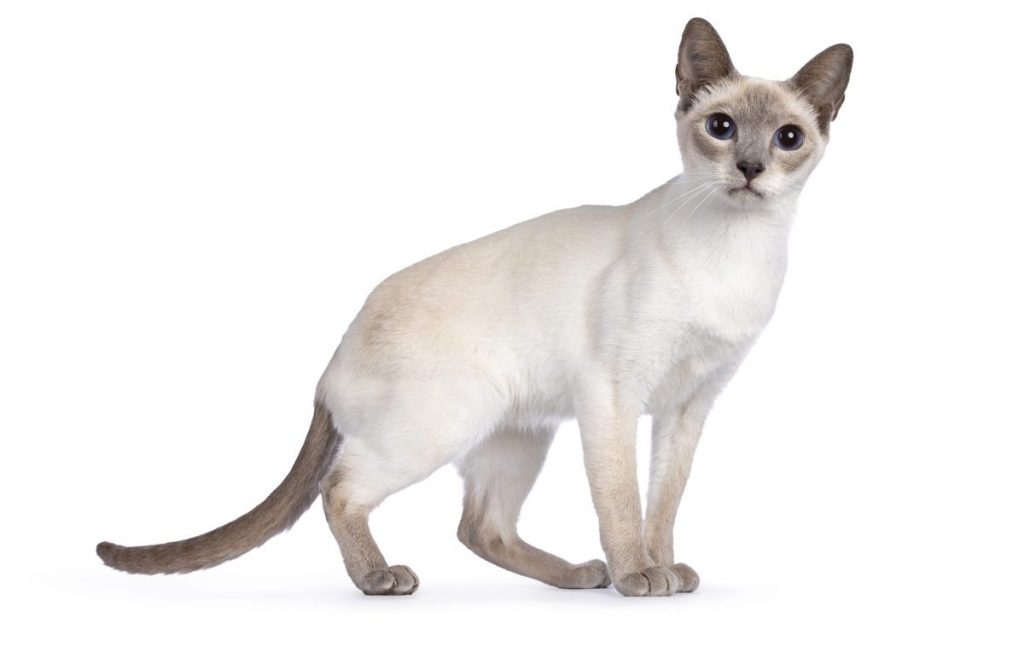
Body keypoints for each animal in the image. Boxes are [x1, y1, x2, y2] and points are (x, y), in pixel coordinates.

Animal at [99, 16, 856, 593]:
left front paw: (662, 570)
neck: (735, 250)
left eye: (788, 139)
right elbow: (622, 501)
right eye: (722, 127)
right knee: (341, 491)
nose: (751, 169)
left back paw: (578, 576)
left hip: (516, 434)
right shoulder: (613, 395)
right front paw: (639, 577)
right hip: (443, 422)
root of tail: (334, 353)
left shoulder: (688, 406)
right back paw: (383, 579)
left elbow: (662, 504)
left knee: (479, 526)